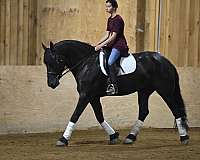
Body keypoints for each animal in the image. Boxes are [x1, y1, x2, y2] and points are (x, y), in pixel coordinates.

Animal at [42, 40, 189, 146]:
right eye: (45, 62)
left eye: (58, 60)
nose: (52, 84)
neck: (86, 63)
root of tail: (164, 60)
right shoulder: (93, 97)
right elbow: (99, 116)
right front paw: (113, 136)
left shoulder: (85, 95)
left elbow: (75, 115)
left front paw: (63, 139)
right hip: (144, 91)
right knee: (144, 111)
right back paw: (130, 137)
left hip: (165, 91)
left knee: (176, 110)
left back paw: (184, 138)